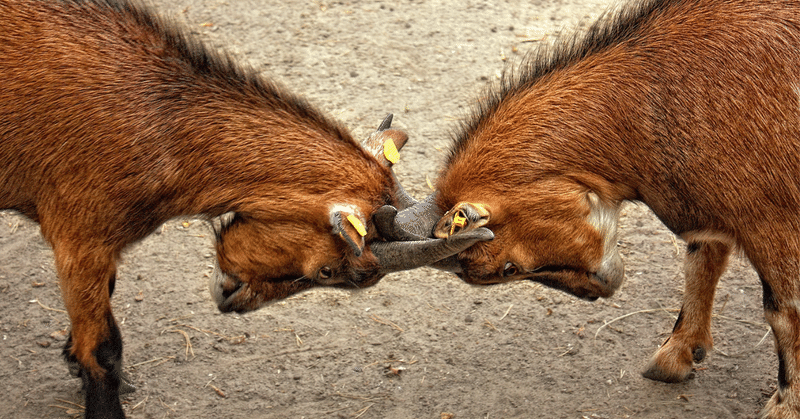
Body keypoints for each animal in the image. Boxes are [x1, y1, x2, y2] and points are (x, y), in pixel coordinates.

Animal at [0, 1, 490, 418]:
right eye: (333, 272)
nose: (230, 301)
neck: (161, 124)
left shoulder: (102, 245)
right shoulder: (79, 238)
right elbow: (103, 350)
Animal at [378, 0, 800, 416]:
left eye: (507, 268)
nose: (598, 290)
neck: (650, 95)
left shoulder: (770, 220)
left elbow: (783, 311)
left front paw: (784, 406)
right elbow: (701, 264)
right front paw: (675, 356)